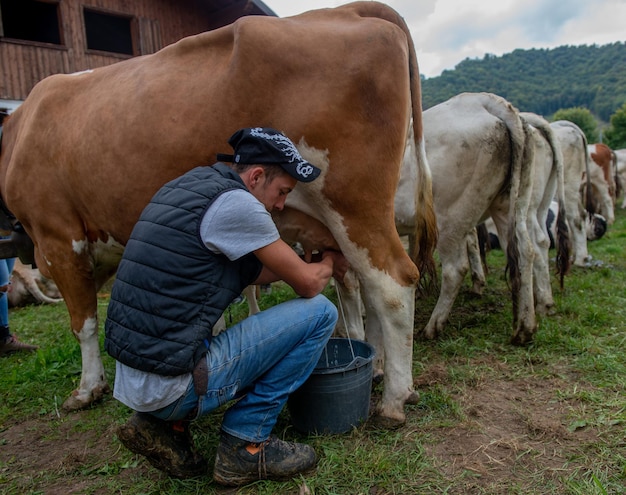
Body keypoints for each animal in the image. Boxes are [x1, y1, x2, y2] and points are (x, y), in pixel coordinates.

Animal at [0, 0, 436, 426]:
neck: (19, 131)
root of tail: (351, 9)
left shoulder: (57, 235)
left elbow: (83, 322)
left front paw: (87, 388)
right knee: (368, 288)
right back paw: (377, 368)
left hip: (354, 206)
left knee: (393, 285)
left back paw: (395, 399)